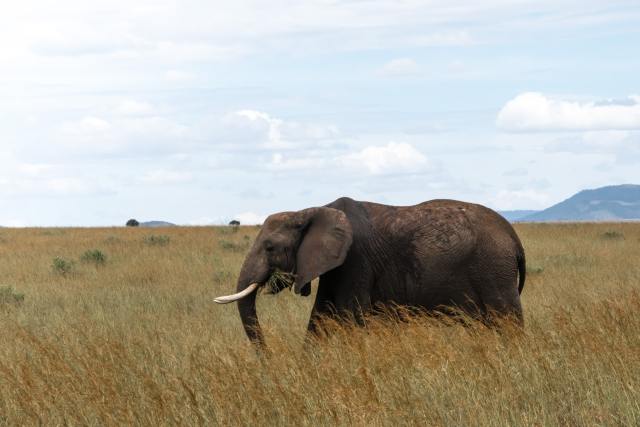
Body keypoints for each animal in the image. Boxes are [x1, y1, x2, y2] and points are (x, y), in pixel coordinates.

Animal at [215, 198, 524, 348]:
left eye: (270, 247)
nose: (268, 358)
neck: (311, 210)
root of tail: (513, 234)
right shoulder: (334, 267)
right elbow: (319, 318)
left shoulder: (355, 260)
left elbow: (351, 317)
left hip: (494, 269)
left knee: (508, 320)